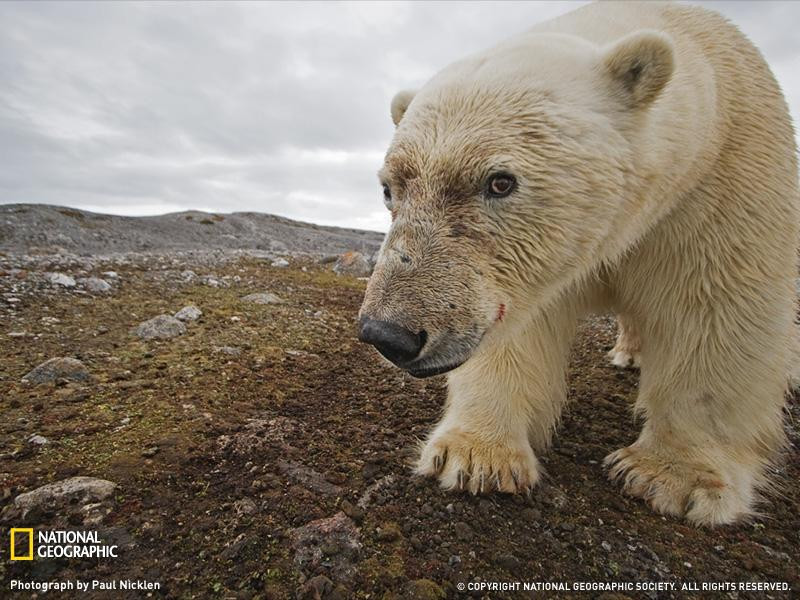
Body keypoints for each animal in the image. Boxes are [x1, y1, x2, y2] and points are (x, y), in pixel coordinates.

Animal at [360, 1, 796, 524]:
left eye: (500, 181)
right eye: (390, 189)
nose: (388, 334)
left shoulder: (719, 184)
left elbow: (717, 310)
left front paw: (673, 478)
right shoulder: (535, 268)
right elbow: (522, 327)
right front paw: (476, 455)